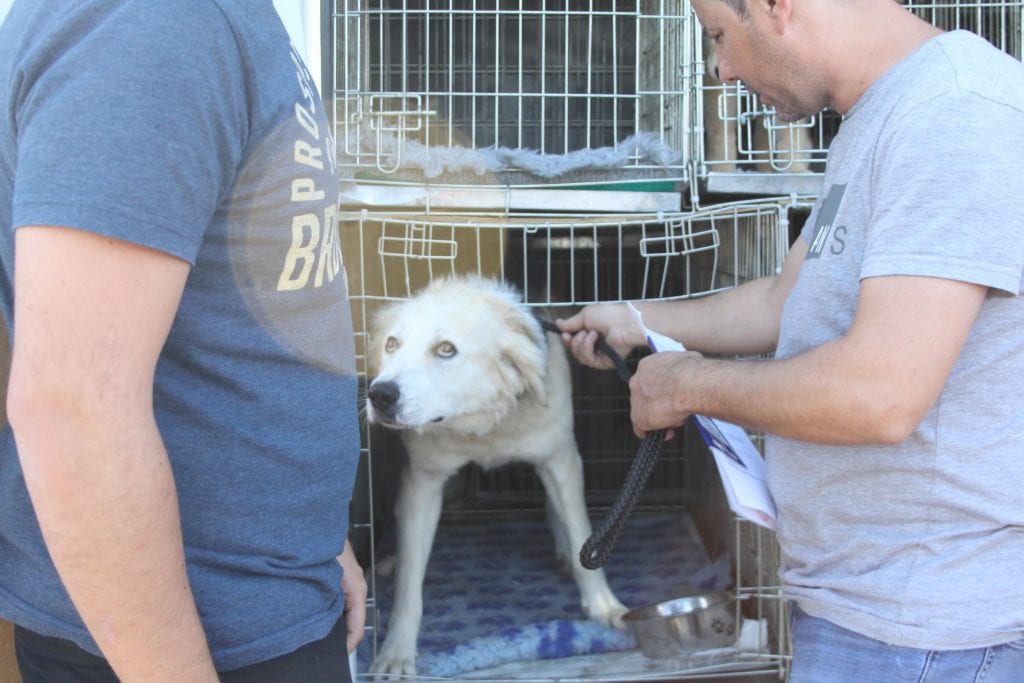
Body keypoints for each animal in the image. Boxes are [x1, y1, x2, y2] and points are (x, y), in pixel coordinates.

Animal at [364, 276, 626, 679]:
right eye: (392, 344)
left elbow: (580, 530)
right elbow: (410, 584)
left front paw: (602, 607)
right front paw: (396, 652)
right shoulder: (423, 480)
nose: (379, 395)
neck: (483, 425)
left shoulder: (560, 459)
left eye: (446, 349)